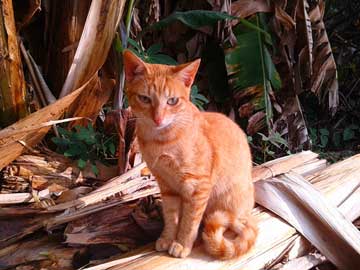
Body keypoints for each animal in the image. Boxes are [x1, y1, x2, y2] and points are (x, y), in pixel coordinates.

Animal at [123, 49, 256, 258]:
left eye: (172, 101)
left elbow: (189, 221)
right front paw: (168, 238)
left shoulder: (197, 187)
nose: (158, 119)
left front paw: (182, 244)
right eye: (145, 98)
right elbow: (172, 217)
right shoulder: (167, 186)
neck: (160, 141)